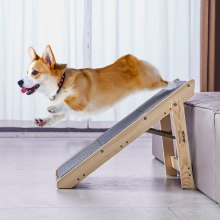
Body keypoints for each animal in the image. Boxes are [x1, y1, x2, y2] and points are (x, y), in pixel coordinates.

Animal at [17, 45, 175, 126]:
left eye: (35, 72)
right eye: (26, 72)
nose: (19, 82)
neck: (60, 84)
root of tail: (131, 59)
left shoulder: (80, 101)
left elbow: (66, 103)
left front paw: (52, 108)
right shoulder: (64, 112)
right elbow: (56, 116)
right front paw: (43, 120)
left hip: (149, 83)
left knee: (162, 82)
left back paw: (173, 84)